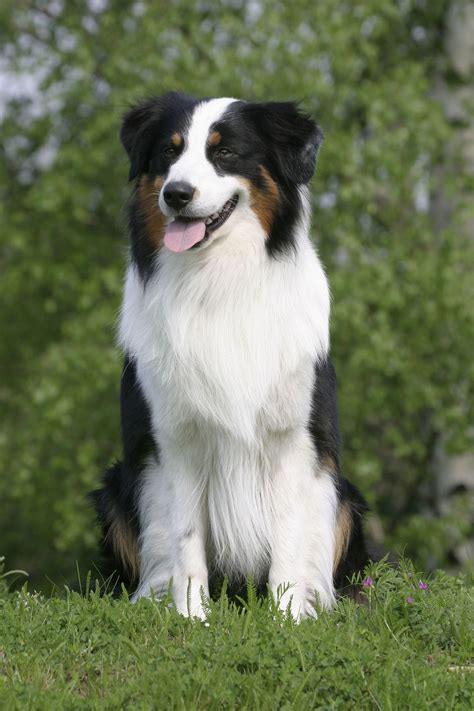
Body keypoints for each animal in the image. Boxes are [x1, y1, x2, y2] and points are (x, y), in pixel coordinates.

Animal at [91, 93, 366, 616]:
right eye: (169, 152)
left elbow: (288, 538)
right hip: (116, 488)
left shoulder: (293, 438)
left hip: (344, 495)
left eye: (224, 153)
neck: (218, 280)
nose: (176, 194)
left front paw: (287, 619)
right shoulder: (175, 437)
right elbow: (185, 539)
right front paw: (191, 617)